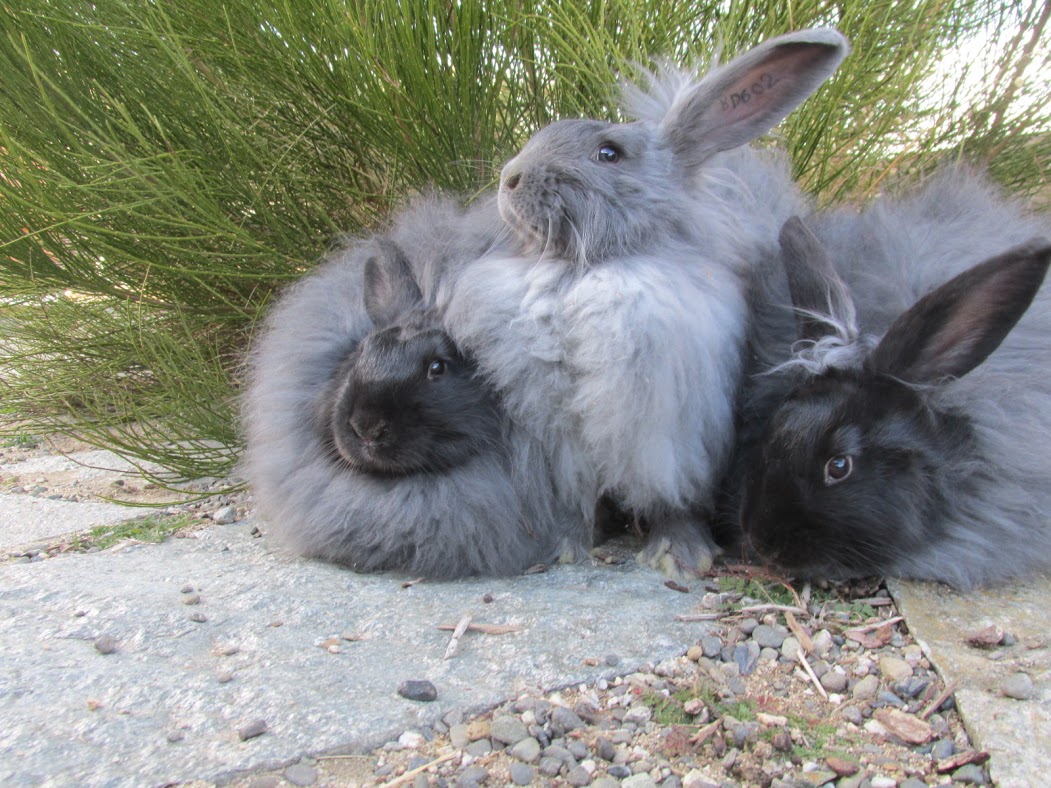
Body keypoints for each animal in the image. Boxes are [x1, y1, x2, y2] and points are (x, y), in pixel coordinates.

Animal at [439, 27, 849, 579]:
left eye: (609, 154)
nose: (510, 178)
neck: (581, 273)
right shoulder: (559, 447)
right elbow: (577, 504)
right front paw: (564, 548)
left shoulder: (671, 439)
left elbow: (674, 502)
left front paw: (679, 557)